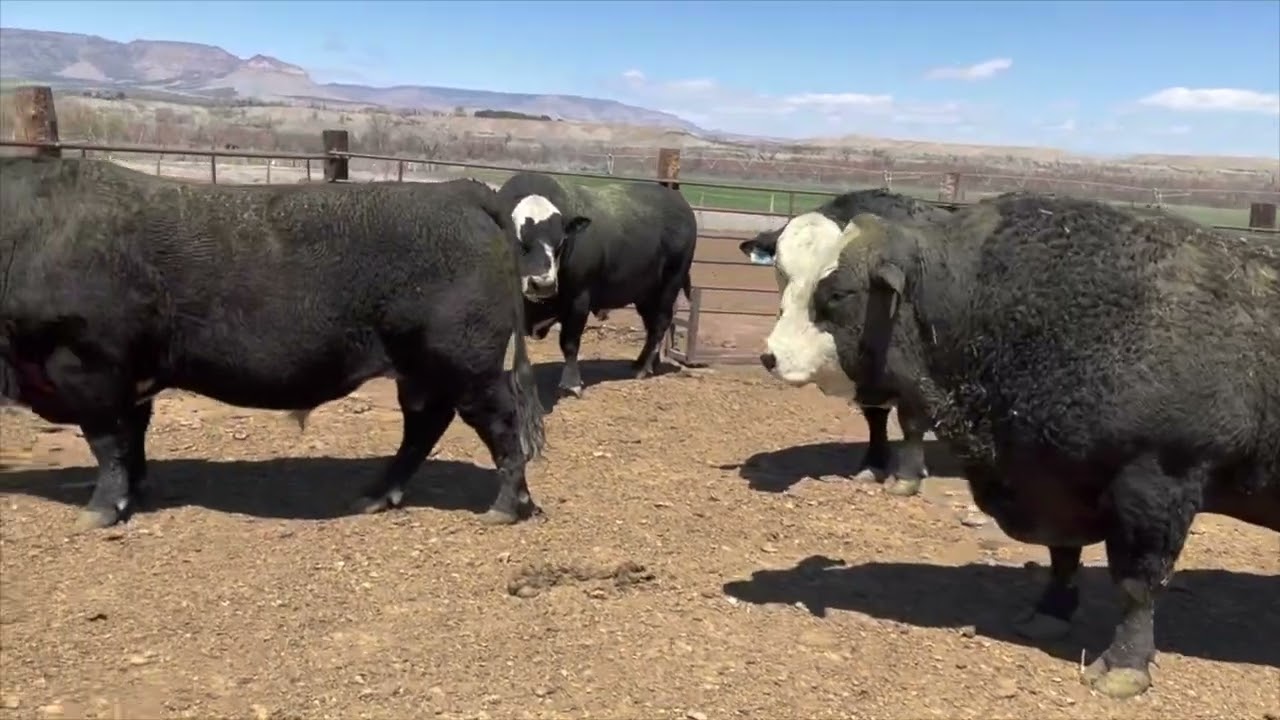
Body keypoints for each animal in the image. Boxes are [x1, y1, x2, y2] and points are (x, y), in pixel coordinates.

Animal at [0, 157, 546, 531]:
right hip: (421, 370)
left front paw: (98, 512)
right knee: (424, 426)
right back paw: (374, 496)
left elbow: (107, 442)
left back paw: (504, 507)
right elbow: (132, 437)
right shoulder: (132, 376)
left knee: (499, 423)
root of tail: (461, 192)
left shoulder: (85, 364)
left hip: (466, 363)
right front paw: (135, 492)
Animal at [496, 172, 698, 398]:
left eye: (560, 243)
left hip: (669, 285)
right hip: (645, 295)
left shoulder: (579, 300)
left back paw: (643, 368)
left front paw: (571, 383)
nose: (543, 284)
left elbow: (569, 342)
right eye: (518, 240)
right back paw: (646, 362)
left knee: (660, 323)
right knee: (651, 324)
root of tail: (678, 202)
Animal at [739, 189, 952, 496]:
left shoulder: (915, 376)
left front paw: (907, 477)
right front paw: (873, 464)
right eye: (780, 269)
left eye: (836, 288)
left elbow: (911, 422)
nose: (772, 357)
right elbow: (875, 420)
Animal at [780, 190, 1279, 699]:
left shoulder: (1158, 481)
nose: (771, 355)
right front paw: (1050, 612)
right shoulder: (1053, 480)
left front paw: (1124, 665)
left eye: (837, 293)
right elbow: (1062, 555)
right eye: (785, 276)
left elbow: (1137, 584)